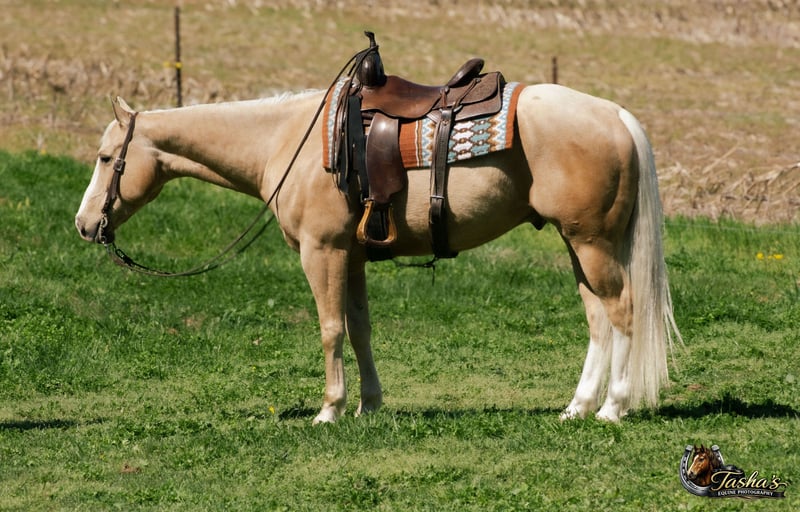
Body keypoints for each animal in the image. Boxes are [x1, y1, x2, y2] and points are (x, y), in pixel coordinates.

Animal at [75, 81, 682, 425]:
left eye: (106, 158)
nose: (84, 225)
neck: (286, 140)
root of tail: (616, 114)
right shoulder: (352, 256)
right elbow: (360, 328)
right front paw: (369, 404)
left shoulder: (321, 252)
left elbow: (329, 329)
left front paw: (329, 410)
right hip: (578, 245)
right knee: (599, 321)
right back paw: (577, 407)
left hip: (592, 244)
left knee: (624, 314)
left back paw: (612, 408)